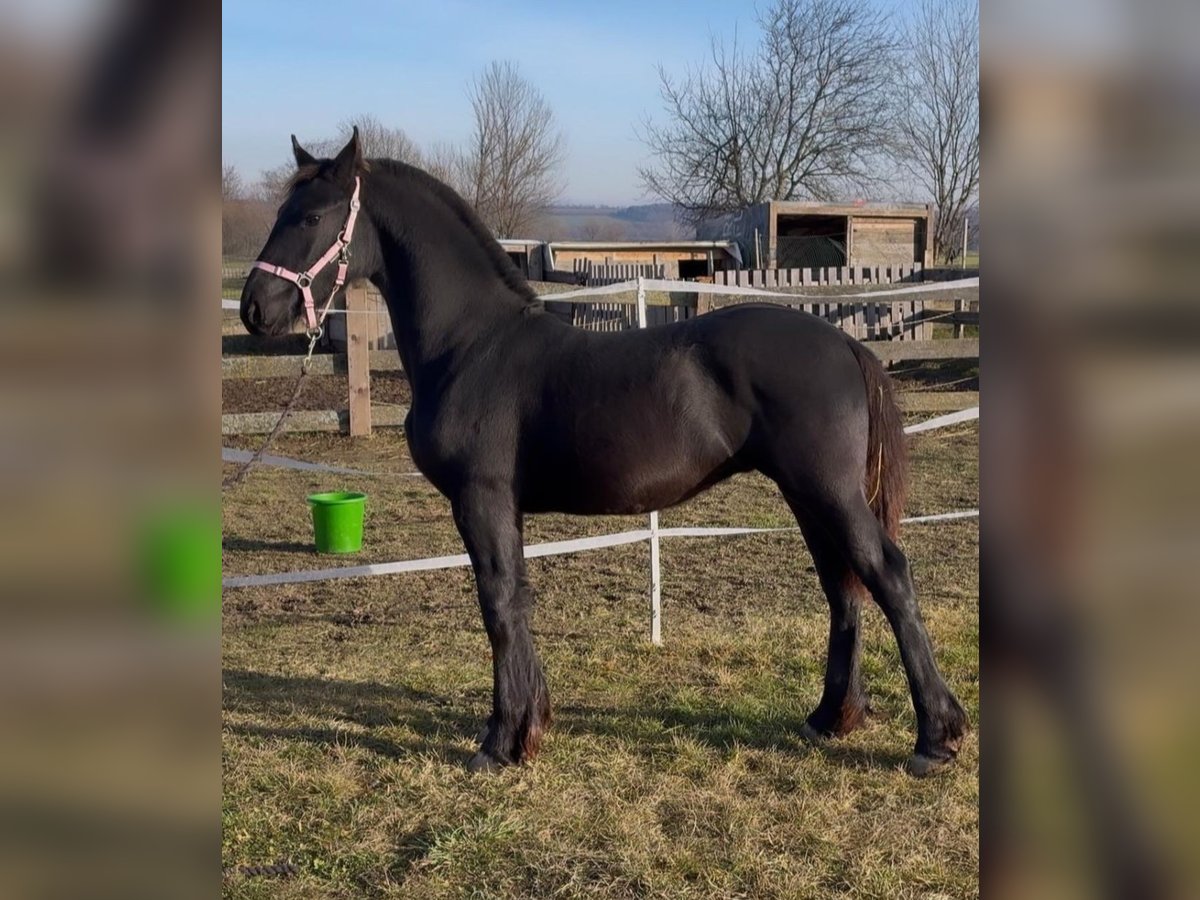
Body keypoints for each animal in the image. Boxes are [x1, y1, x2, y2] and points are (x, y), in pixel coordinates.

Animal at [239, 128, 968, 776]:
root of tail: (842, 342)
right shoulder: (503, 507)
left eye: (311, 216)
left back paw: (935, 738)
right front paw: (528, 727)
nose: (254, 308)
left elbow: (498, 604)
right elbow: (517, 598)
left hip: (828, 491)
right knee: (842, 587)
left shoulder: (481, 498)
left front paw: (500, 744)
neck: (473, 345)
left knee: (887, 575)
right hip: (805, 494)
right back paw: (830, 718)